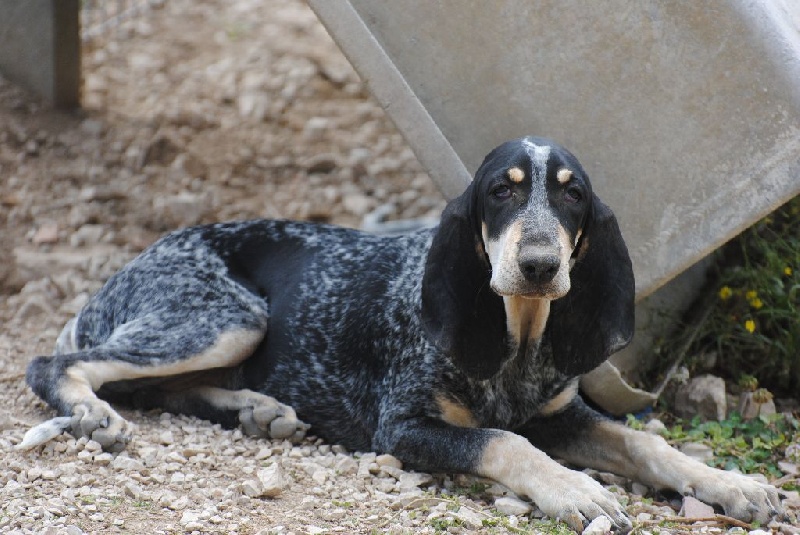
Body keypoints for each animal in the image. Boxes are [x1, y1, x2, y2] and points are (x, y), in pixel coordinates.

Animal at [23, 138, 780, 532]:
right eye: (500, 192)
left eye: (573, 195)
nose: (540, 265)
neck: (516, 341)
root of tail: (124, 270)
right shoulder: (404, 426)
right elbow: (504, 441)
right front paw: (574, 490)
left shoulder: (560, 415)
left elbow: (647, 443)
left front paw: (730, 483)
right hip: (227, 314)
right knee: (56, 365)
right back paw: (93, 412)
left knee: (166, 389)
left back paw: (258, 410)